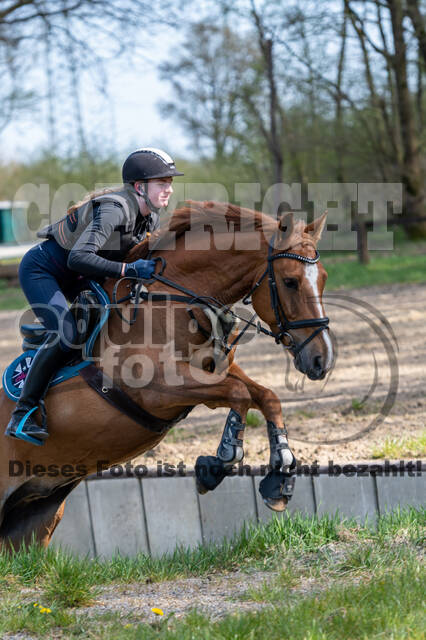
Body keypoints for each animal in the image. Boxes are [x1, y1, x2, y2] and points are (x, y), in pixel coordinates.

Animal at [0, 201, 332, 552]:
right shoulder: (160, 390)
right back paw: (25, 419)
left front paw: (280, 477)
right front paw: (218, 464)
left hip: (37, 516)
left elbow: (266, 397)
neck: (174, 300)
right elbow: (240, 395)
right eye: (290, 281)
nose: (321, 359)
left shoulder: (214, 376)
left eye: (323, 278)